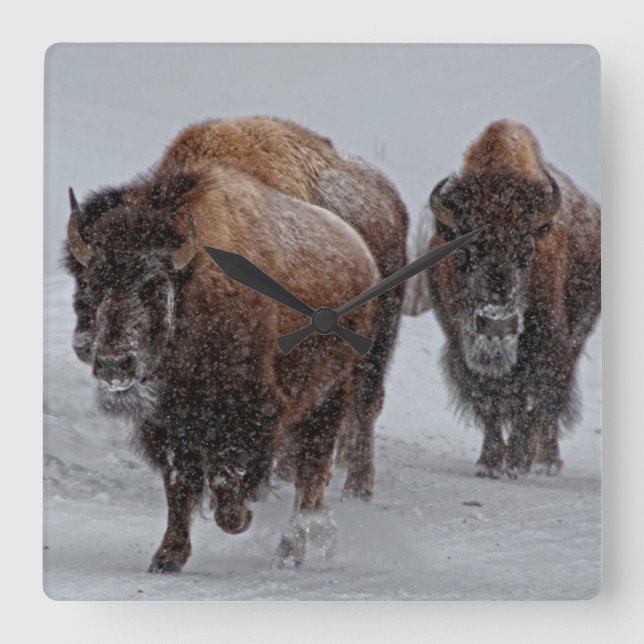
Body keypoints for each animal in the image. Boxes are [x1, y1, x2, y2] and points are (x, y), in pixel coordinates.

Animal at [426, 120, 600, 477]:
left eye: (526, 250)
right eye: (463, 252)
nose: (497, 325)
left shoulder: (550, 346)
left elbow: (534, 403)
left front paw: (518, 461)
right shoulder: (459, 347)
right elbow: (488, 403)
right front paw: (490, 463)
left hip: (577, 339)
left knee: (547, 408)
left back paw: (547, 461)